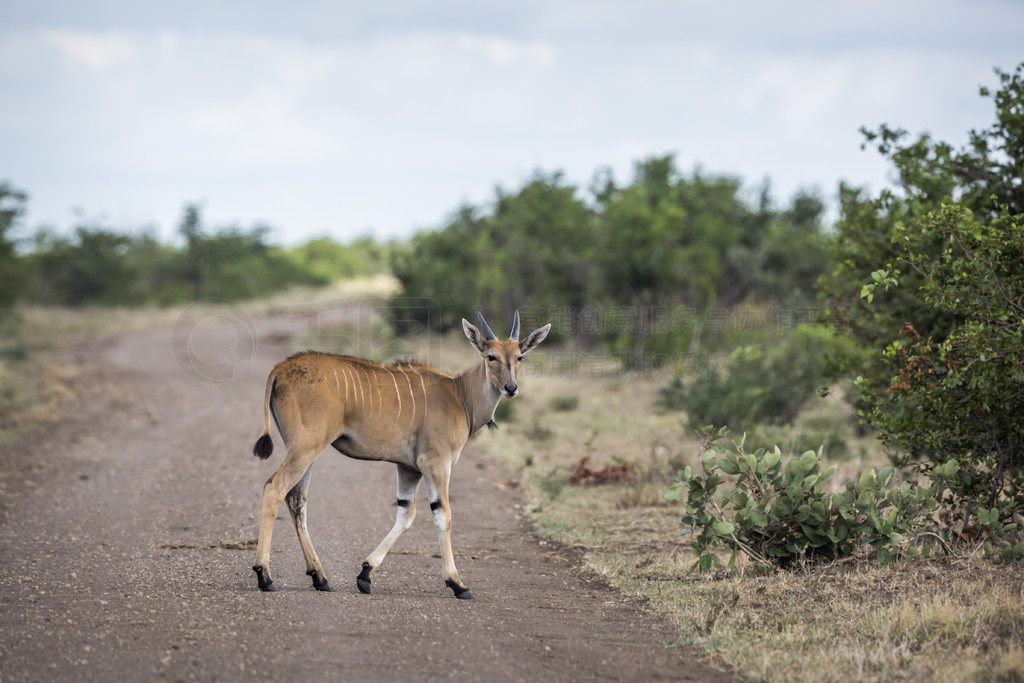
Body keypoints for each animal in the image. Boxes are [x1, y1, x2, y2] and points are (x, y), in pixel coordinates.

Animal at [250, 311, 548, 598]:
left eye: (519, 356)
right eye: (490, 356)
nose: (511, 388)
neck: (460, 396)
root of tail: (279, 370)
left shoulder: (409, 469)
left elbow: (406, 514)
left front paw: (365, 575)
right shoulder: (435, 463)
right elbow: (443, 515)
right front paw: (457, 583)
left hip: (306, 452)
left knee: (296, 499)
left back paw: (320, 578)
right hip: (305, 448)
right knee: (274, 488)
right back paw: (264, 575)